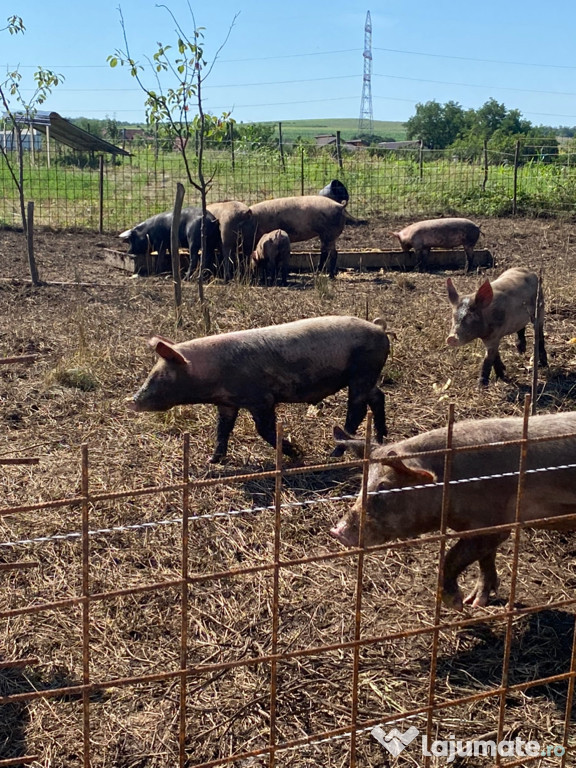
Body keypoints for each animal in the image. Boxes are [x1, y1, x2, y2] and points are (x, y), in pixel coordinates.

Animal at [130, 316, 390, 462]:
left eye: (160, 377)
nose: (131, 401)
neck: (212, 373)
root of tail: (379, 328)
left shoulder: (262, 399)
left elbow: (264, 430)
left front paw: (297, 454)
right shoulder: (226, 403)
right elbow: (223, 429)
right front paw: (213, 461)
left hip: (362, 372)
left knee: (357, 410)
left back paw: (333, 455)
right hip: (369, 376)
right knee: (378, 397)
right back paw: (381, 438)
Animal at [330, 414, 576, 612]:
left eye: (384, 488)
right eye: (362, 485)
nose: (337, 531)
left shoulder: (492, 526)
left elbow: (451, 557)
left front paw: (458, 605)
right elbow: (485, 559)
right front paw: (475, 603)